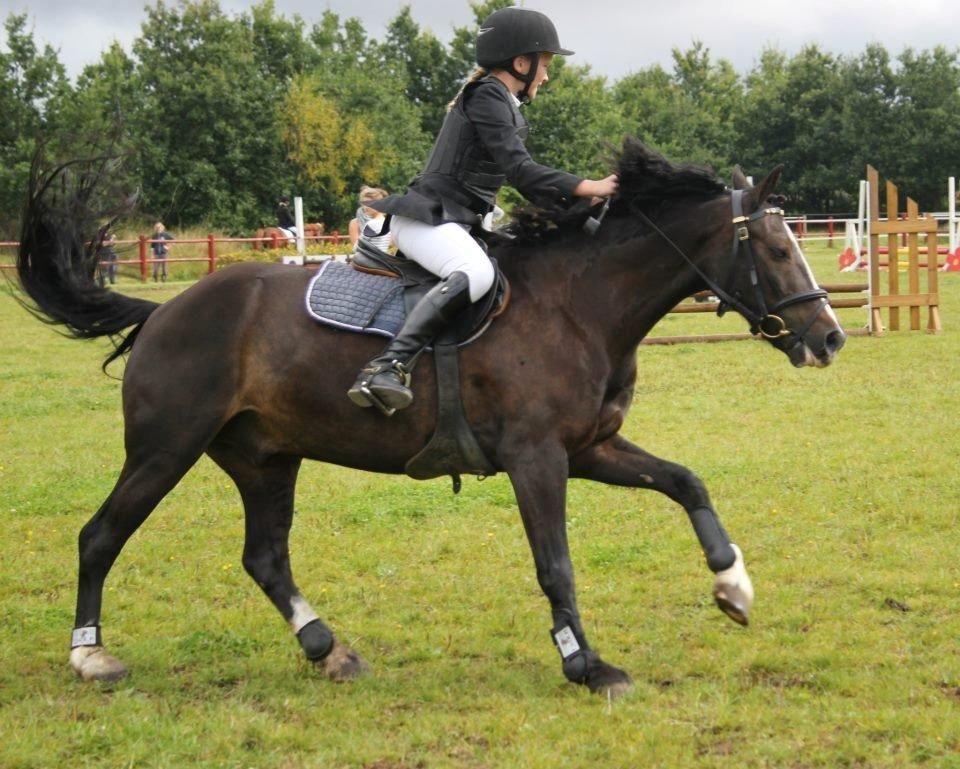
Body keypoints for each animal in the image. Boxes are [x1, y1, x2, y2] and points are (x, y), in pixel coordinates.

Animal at [16, 140, 848, 696]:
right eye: (777, 250)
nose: (830, 337)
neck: (581, 304)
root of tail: (163, 312)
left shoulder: (589, 447)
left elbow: (686, 482)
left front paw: (733, 586)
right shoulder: (537, 457)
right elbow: (555, 562)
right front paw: (585, 662)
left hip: (264, 457)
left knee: (265, 556)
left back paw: (328, 647)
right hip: (166, 449)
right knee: (100, 536)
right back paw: (90, 654)